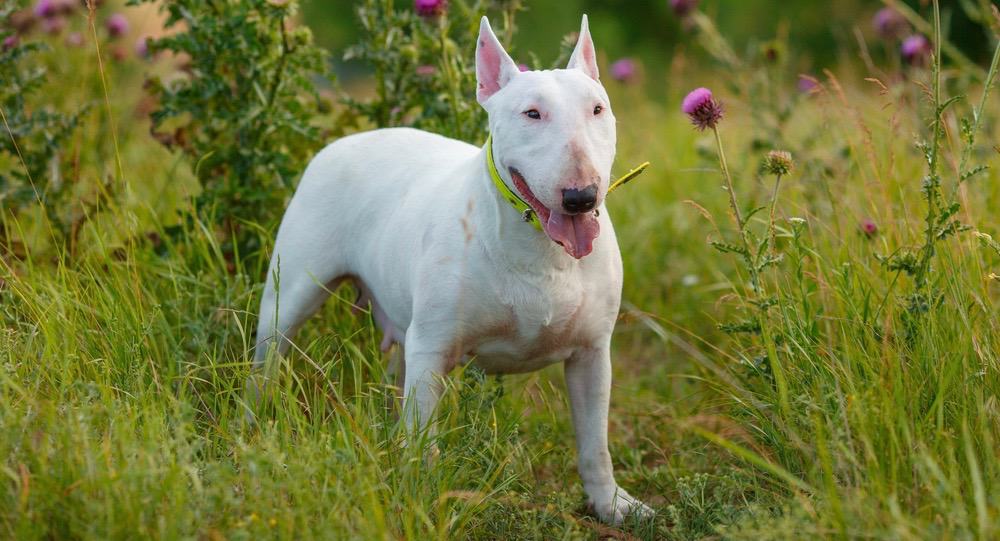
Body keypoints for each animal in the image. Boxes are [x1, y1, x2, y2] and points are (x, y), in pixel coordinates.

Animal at [249, 15, 652, 524]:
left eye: (598, 109)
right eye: (531, 114)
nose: (581, 196)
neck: (541, 250)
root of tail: (344, 142)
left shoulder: (592, 354)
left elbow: (594, 441)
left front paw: (613, 504)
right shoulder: (433, 348)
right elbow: (421, 437)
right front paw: (417, 495)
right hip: (290, 297)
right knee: (268, 360)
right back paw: (250, 423)